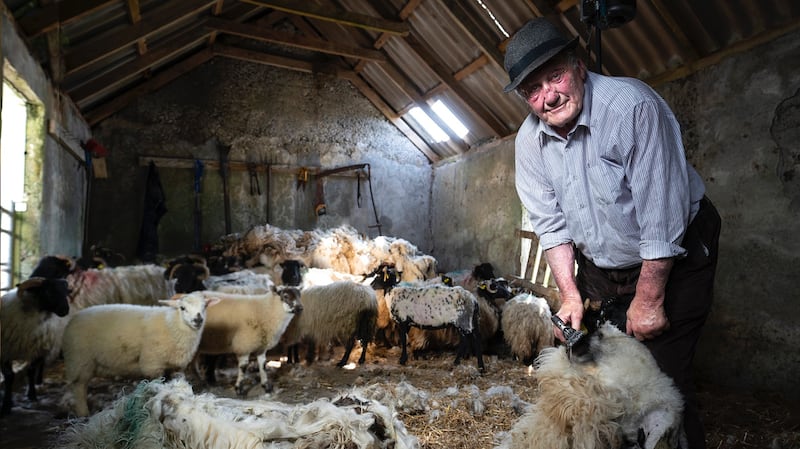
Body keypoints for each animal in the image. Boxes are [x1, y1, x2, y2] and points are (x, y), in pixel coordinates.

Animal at [61, 292, 219, 414]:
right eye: (182, 308)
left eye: (204, 306)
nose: (198, 319)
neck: (173, 324)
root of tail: (73, 319)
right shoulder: (153, 364)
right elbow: (158, 385)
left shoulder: (176, 367)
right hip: (80, 361)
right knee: (79, 388)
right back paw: (83, 413)